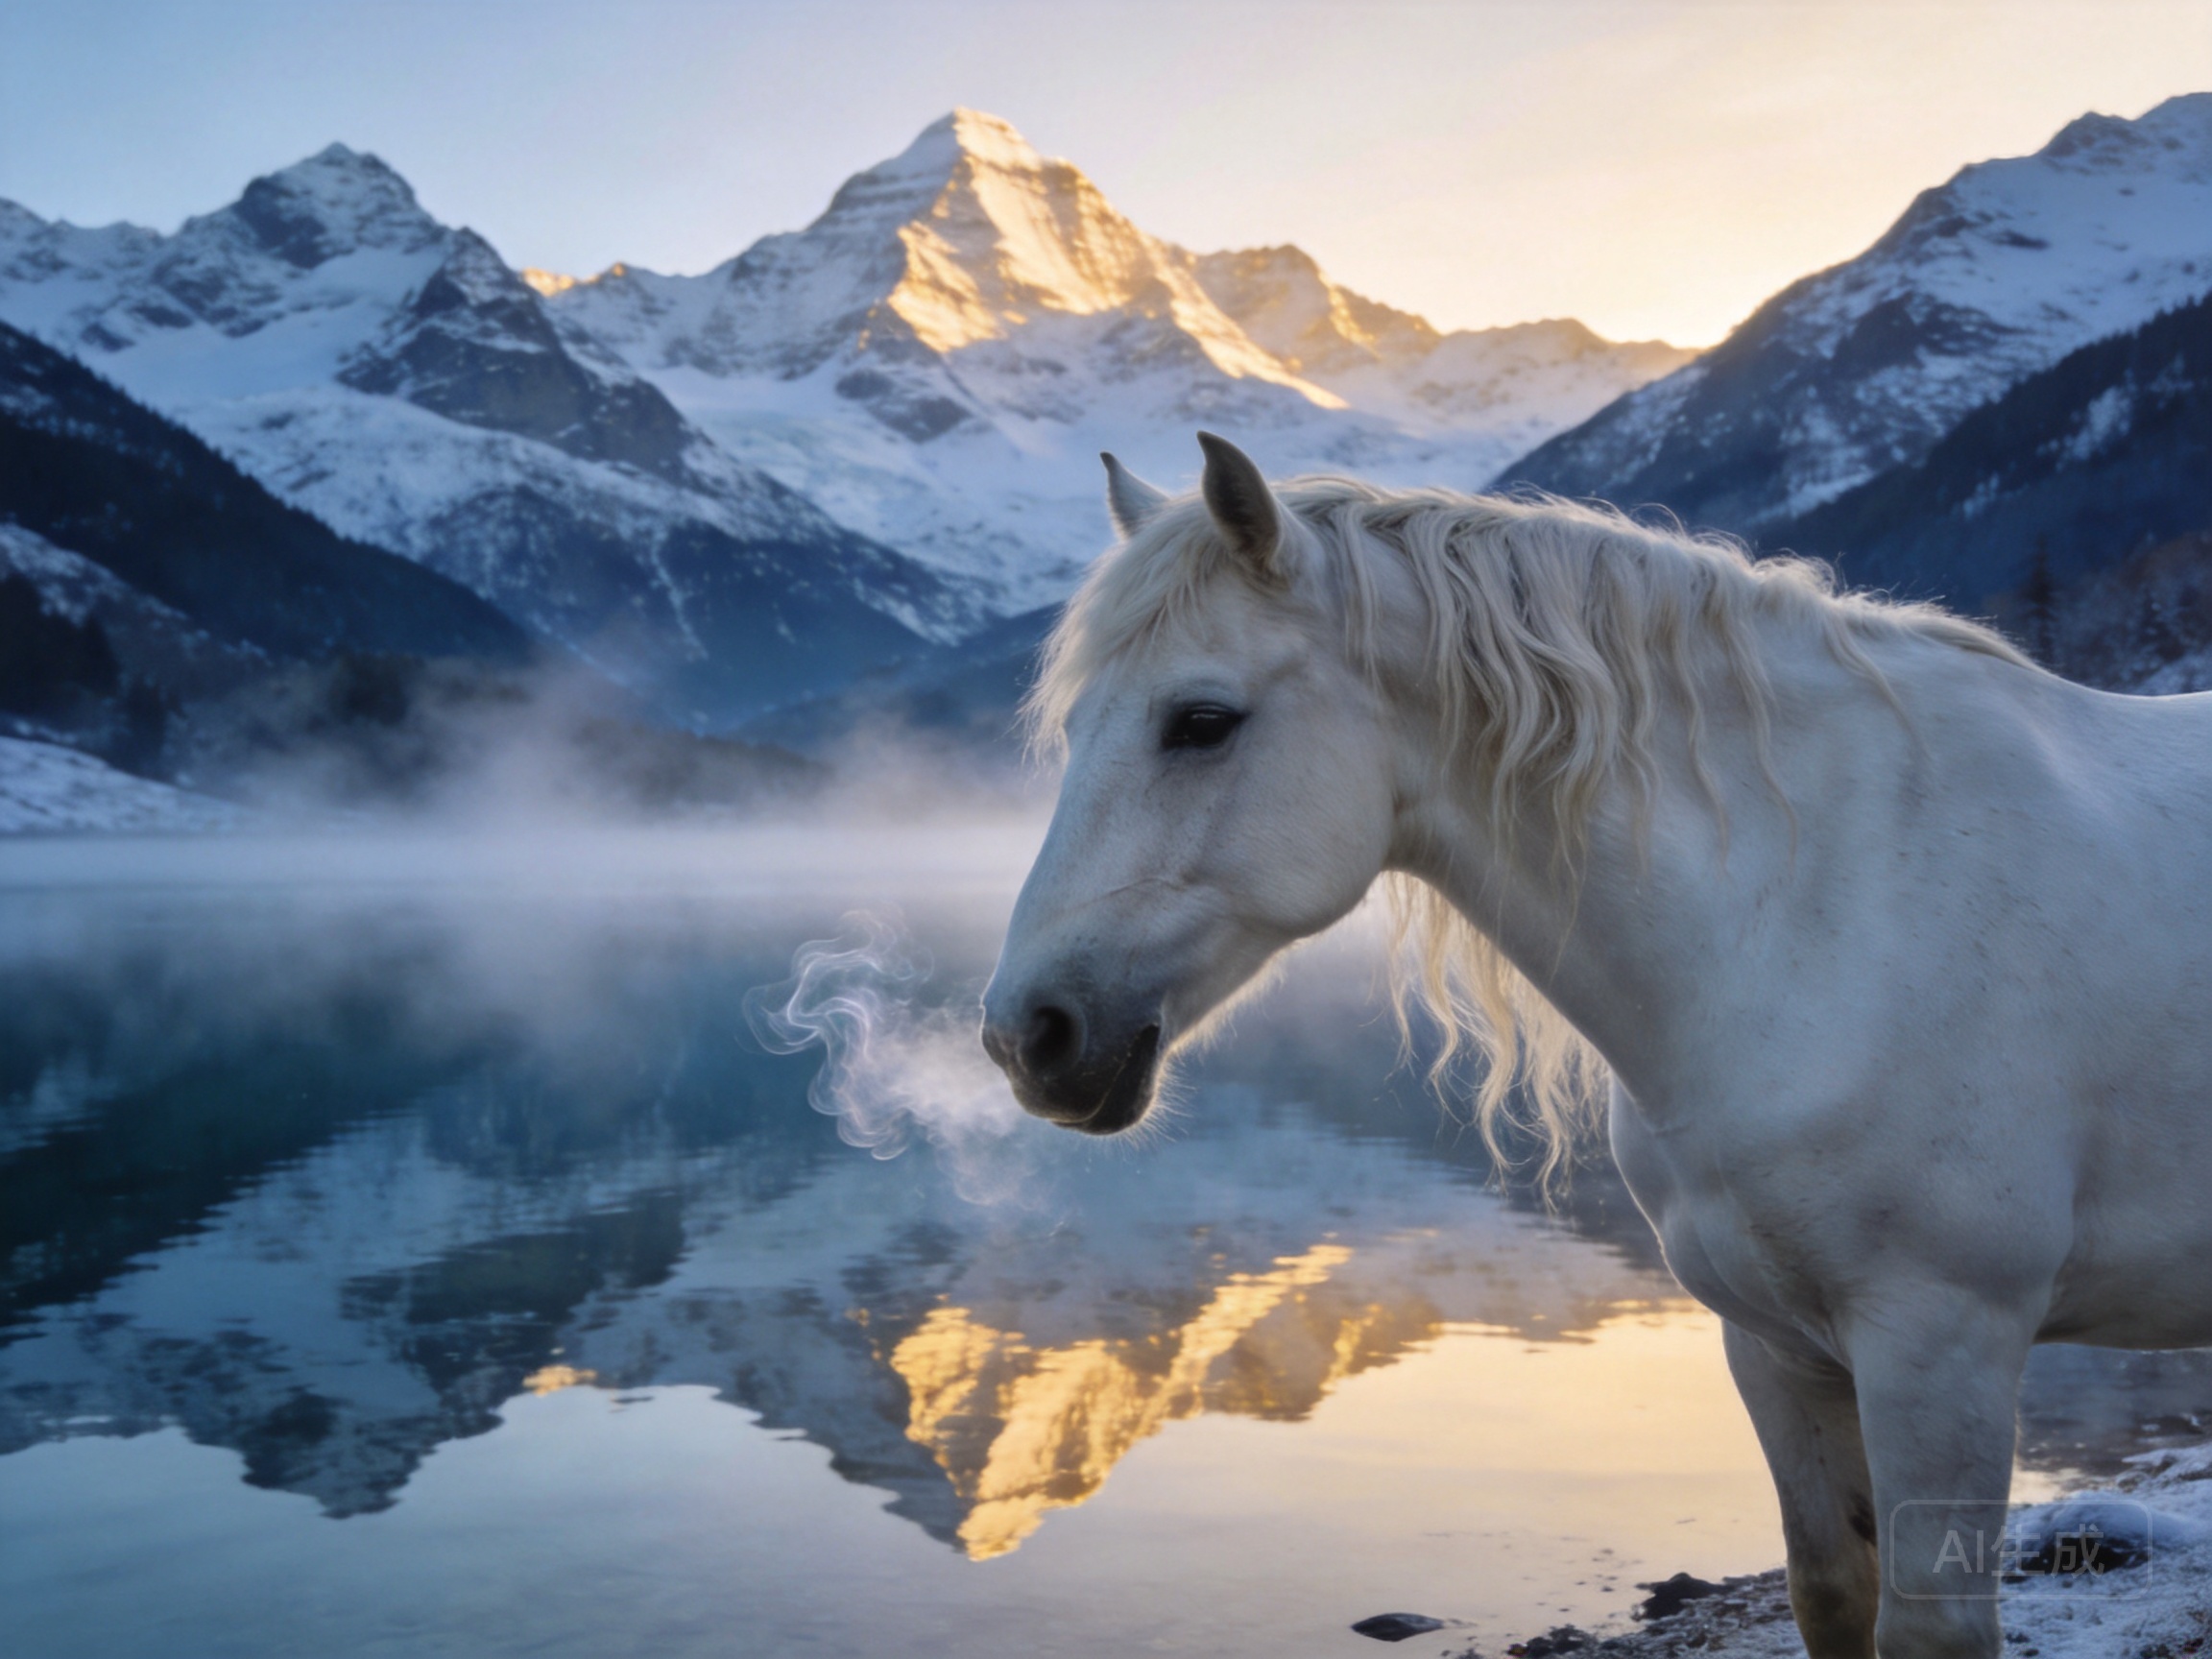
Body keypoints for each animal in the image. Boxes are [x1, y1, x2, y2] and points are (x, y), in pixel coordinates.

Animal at [978, 433, 2212, 1659]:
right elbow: (1830, 1590)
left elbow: (1928, 1626)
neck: (1822, 909)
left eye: (1201, 721)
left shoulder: (1942, 1344)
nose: (1025, 1035)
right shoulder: (1776, 1345)